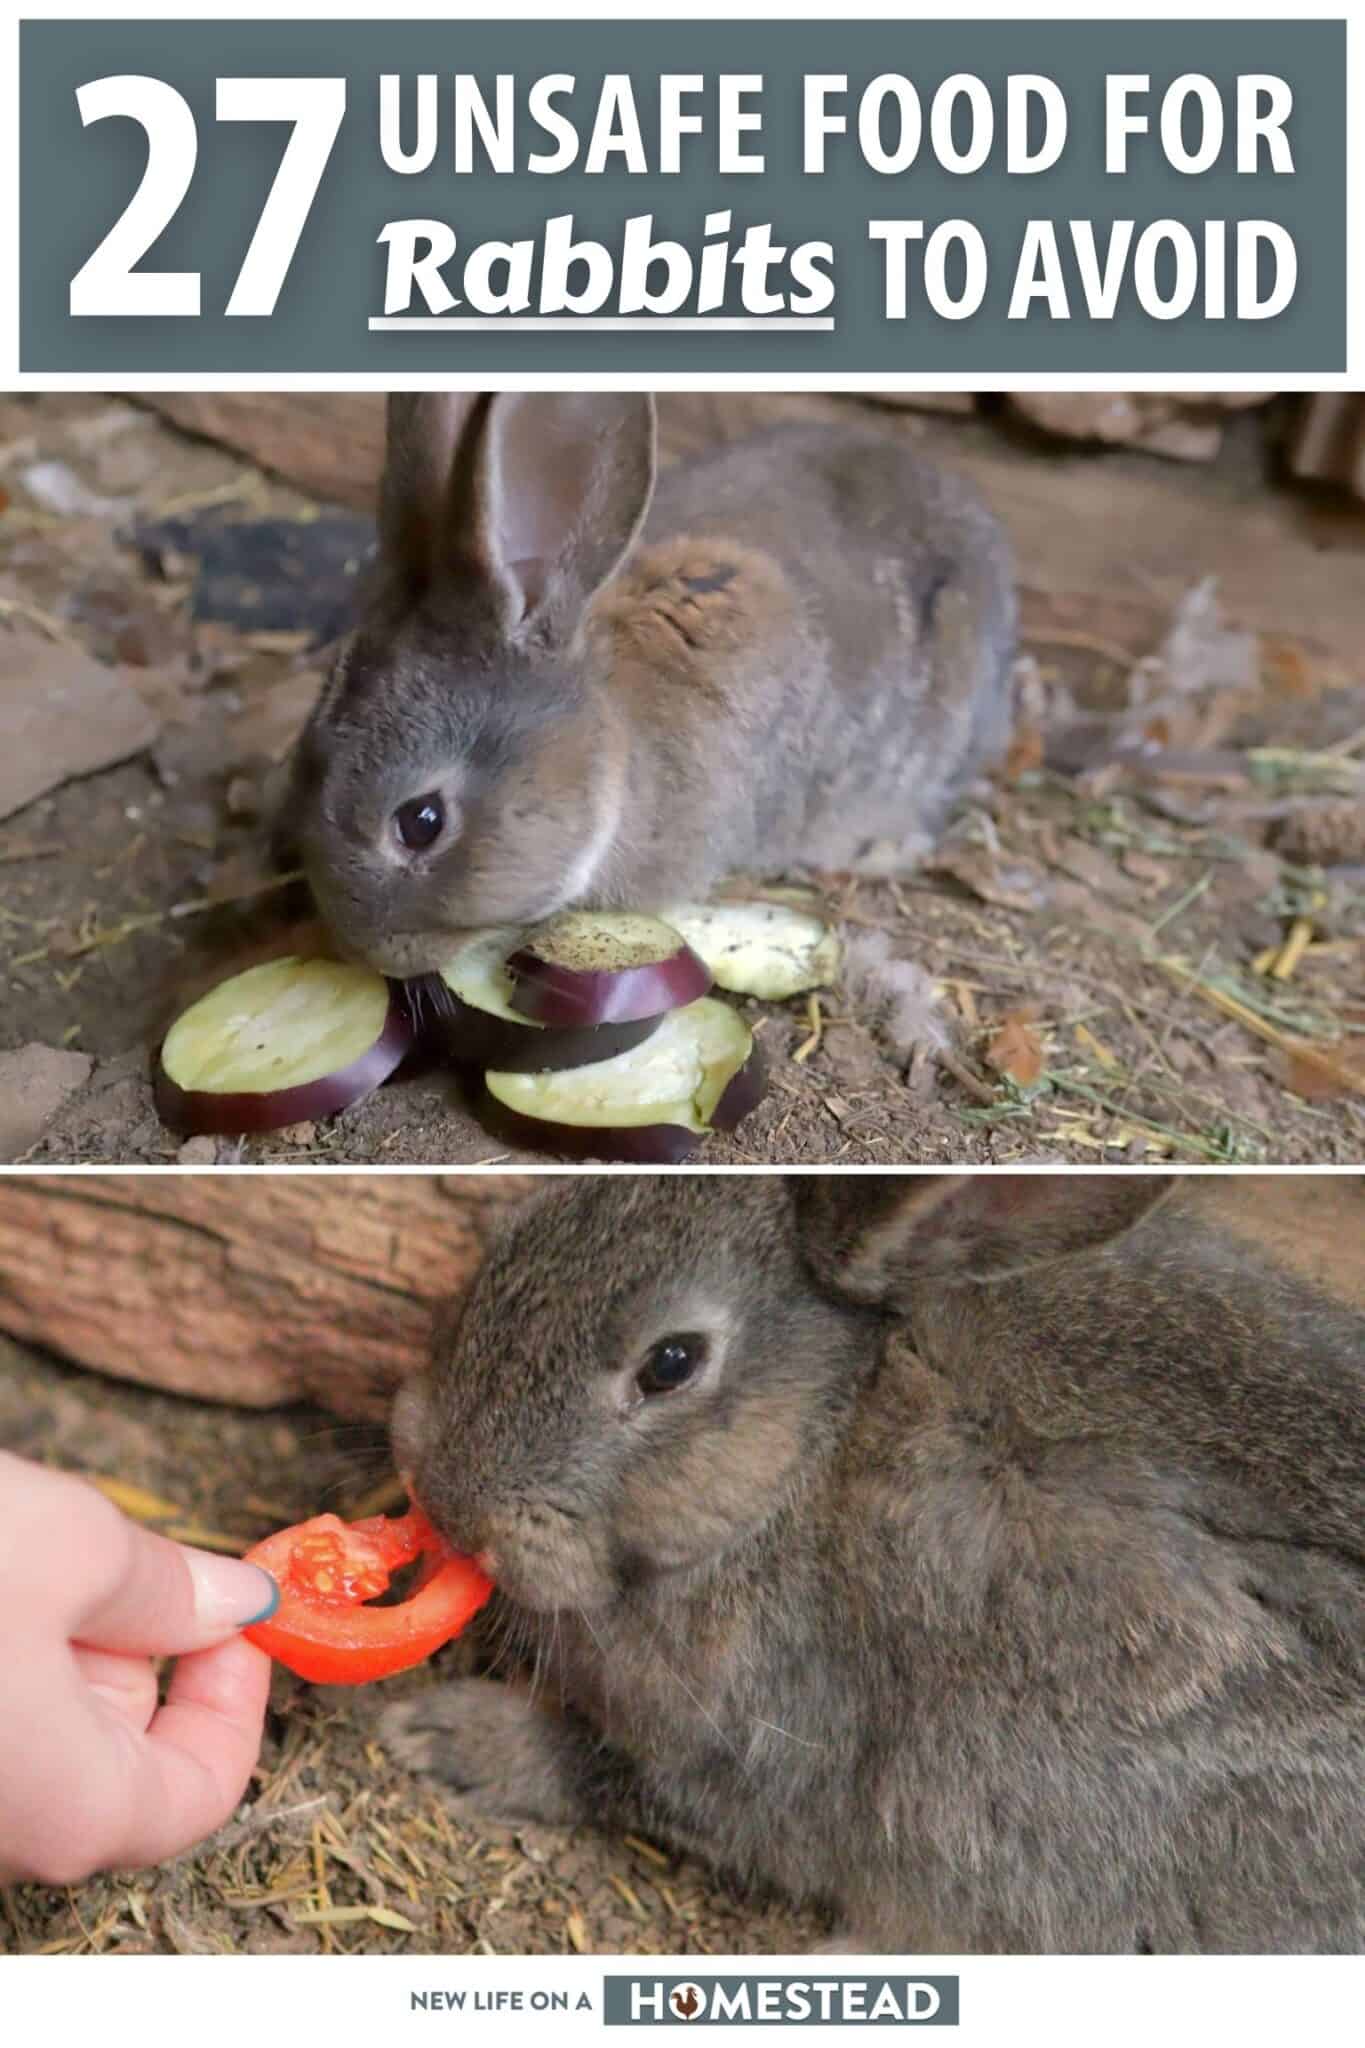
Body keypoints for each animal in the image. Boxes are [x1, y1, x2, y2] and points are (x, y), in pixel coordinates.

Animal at [381, 1172, 1365, 1954]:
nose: (449, 1498)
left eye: (671, 1364)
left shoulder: (776, 1749)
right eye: (514, 1231)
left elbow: (614, 1774)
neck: (814, 1443)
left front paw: (450, 1737)